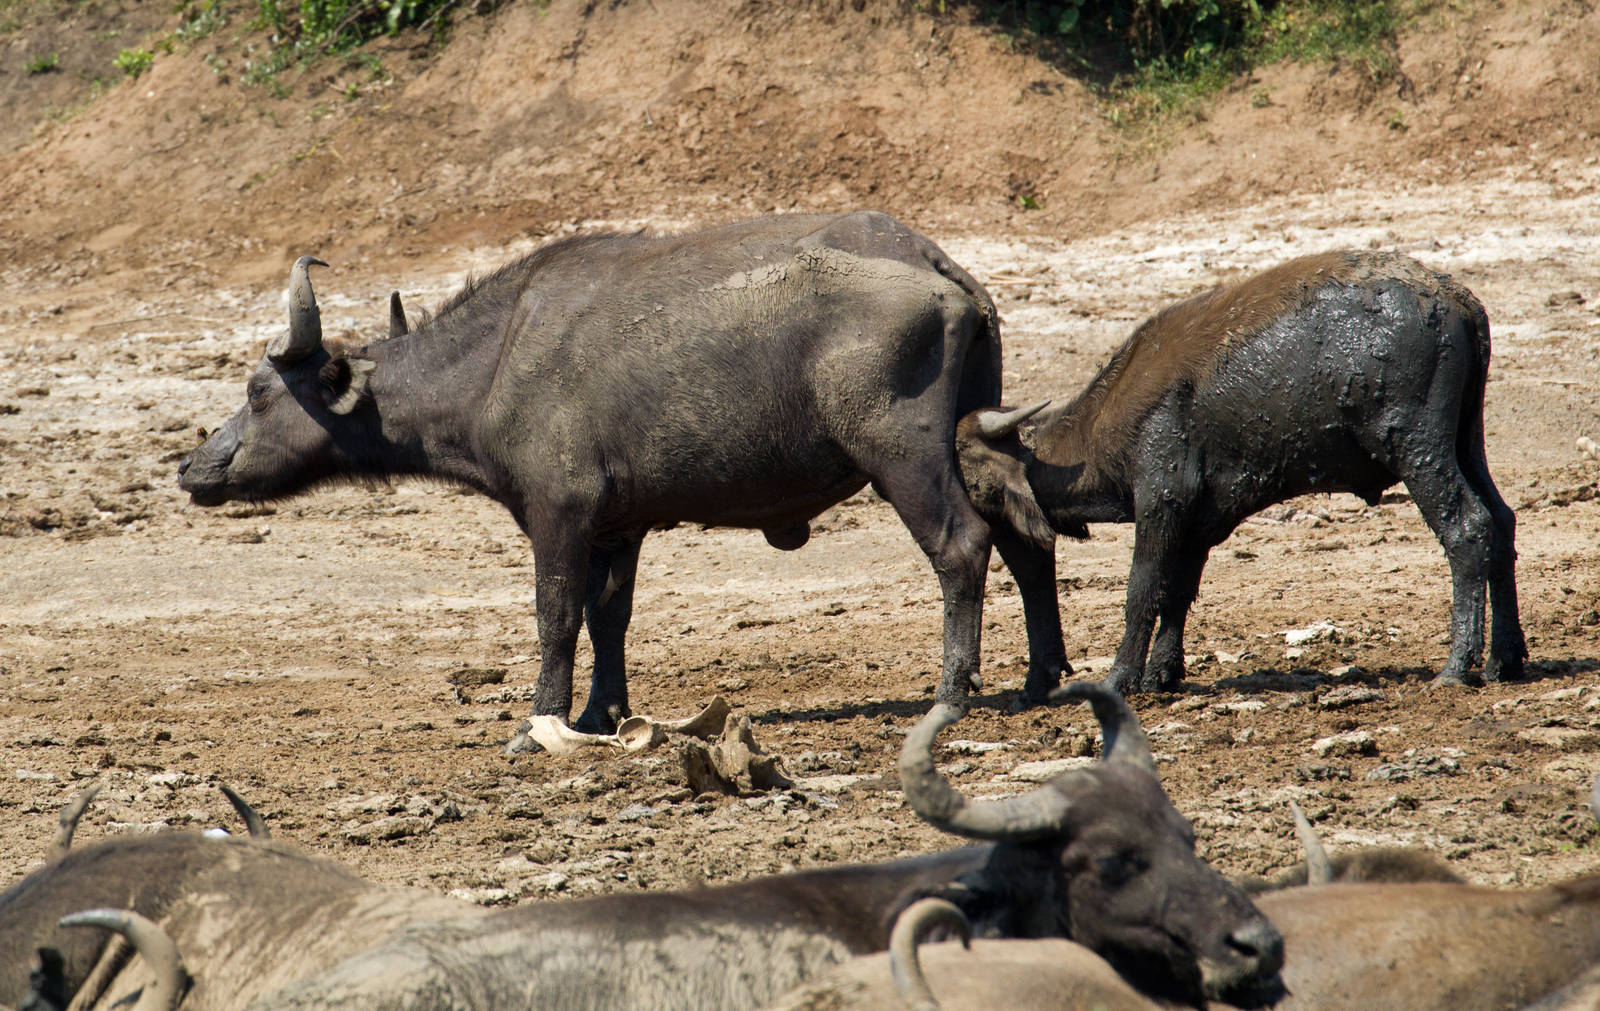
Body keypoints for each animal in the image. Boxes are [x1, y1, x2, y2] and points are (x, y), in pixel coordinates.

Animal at [176, 213, 1072, 748]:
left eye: (258, 391)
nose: (191, 465)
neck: (497, 360)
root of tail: (944, 271)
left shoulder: (559, 515)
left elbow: (556, 615)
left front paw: (538, 720)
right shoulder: (620, 527)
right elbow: (610, 616)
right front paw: (601, 711)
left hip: (904, 456)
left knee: (963, 546)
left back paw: (951, 694)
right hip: (979, 434)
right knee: (1027, 538)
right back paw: (1039, 677)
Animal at [956, 250, 1526, 696]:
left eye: (973, 479)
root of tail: (1458, 301)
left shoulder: (1161, 502)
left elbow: (1143, 589)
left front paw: (1121, 678)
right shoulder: (1198, 522)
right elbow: (1177, 593)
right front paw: (1161, 675)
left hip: (1417, 449)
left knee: (1468, 529)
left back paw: (1457, 666)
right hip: (1466, 442)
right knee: (1501, 522)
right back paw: (1505, 659)